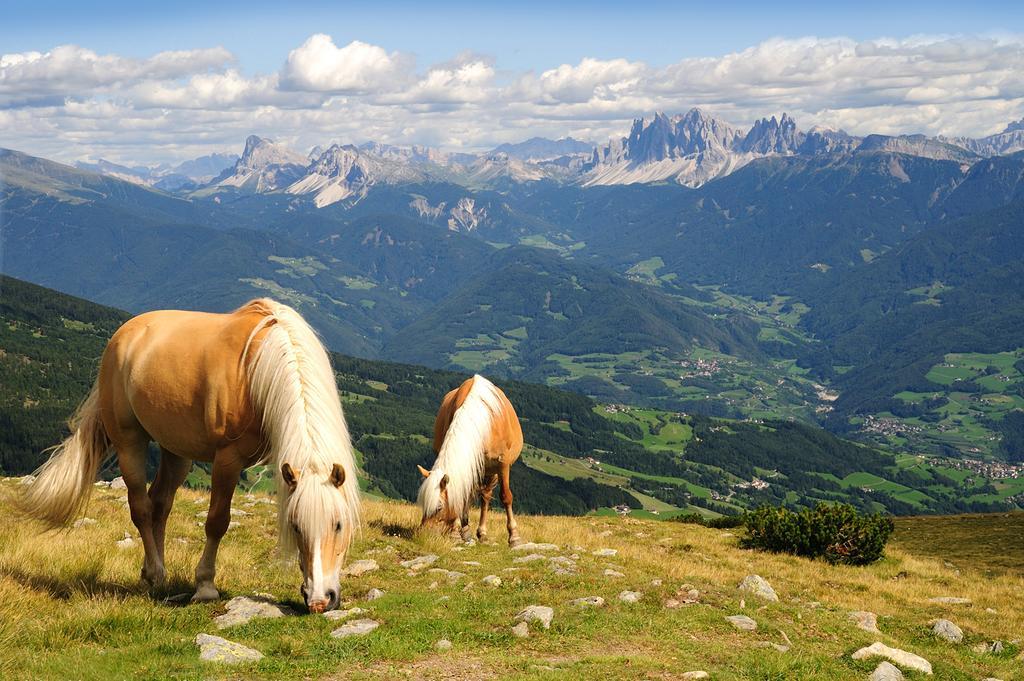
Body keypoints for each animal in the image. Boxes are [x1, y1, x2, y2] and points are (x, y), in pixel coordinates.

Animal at [18, 296, 362, 610]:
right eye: (296, 526)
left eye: (338, 524)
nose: (320, 600)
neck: (257, 369)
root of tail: (123, 334)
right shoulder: (227, 459)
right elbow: (217, 521)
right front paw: (205, 586)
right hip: (129, 442)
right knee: (141, 507)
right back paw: (156, 574)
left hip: (176, 451)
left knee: (160, 504)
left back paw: (151, 572)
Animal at [415, 374, 524, 544]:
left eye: (439, 507)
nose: (422, 533)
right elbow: (460, 496)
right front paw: (456, 532)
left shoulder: (503, 464)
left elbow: (506, 496)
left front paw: (514, 537)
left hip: (488, 470)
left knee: (485, 496)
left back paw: (482, 533)